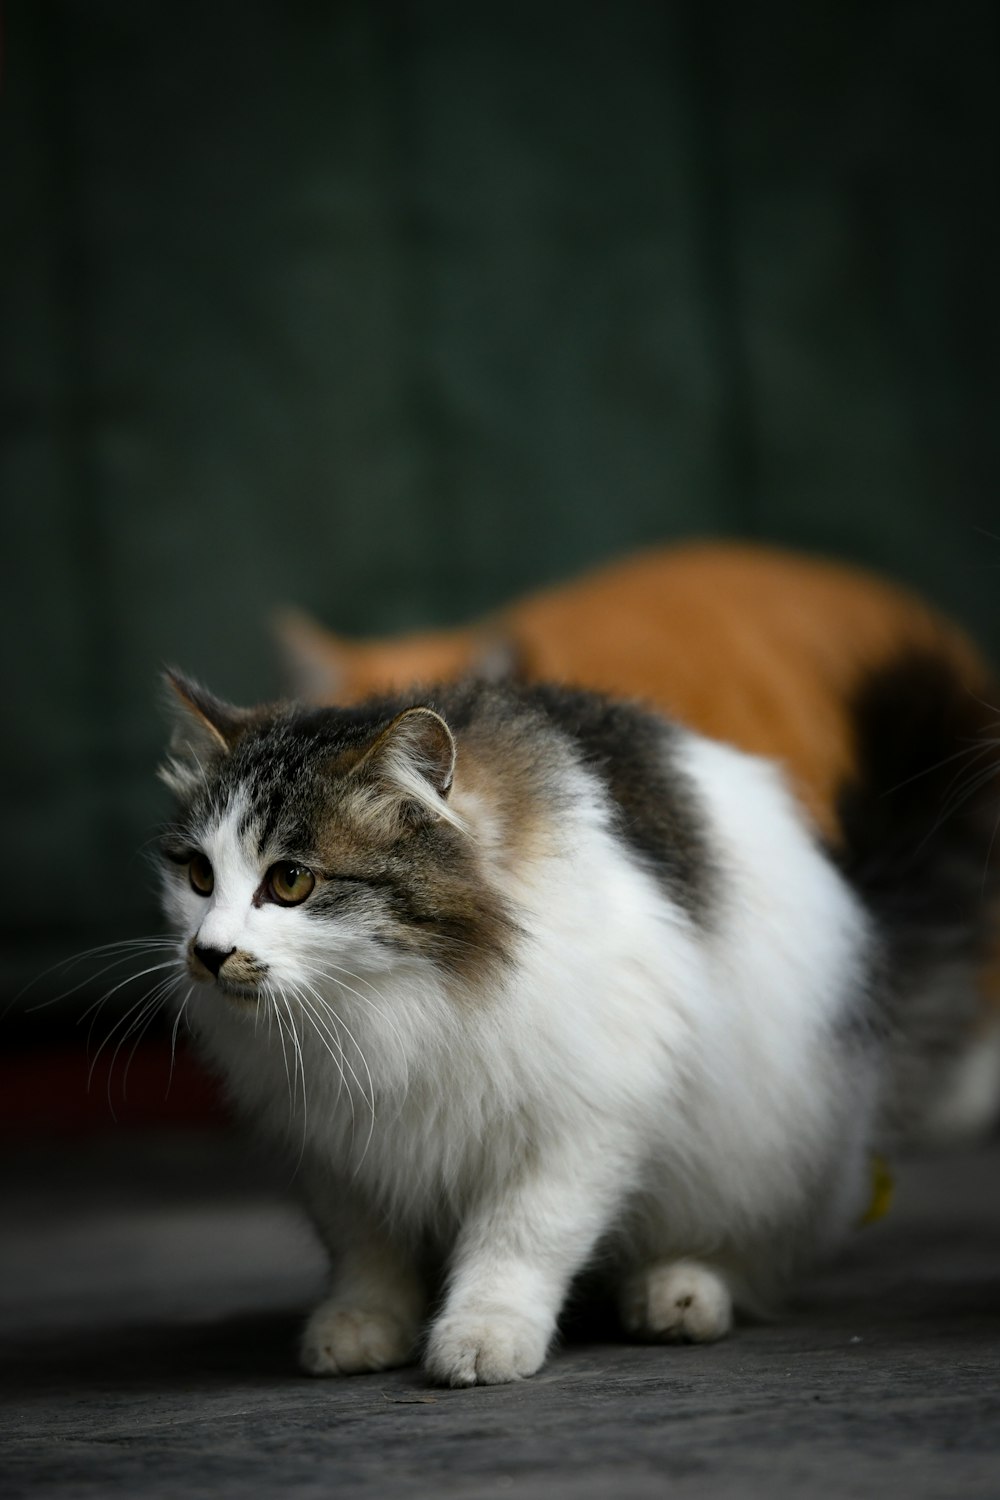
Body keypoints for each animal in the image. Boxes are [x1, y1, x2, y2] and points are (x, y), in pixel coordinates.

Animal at [160, 651, 995, 1386]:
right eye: (199, 876)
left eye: (290, 882)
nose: (209, 953)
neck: (390, 1000)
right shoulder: (339, 1147)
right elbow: (368, 1254)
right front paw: (364, 1324)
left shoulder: (581, 1124)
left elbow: (519, 1241)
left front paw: (483, 1334)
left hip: (763, 1145)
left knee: (742, 1250)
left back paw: (679, 1293)